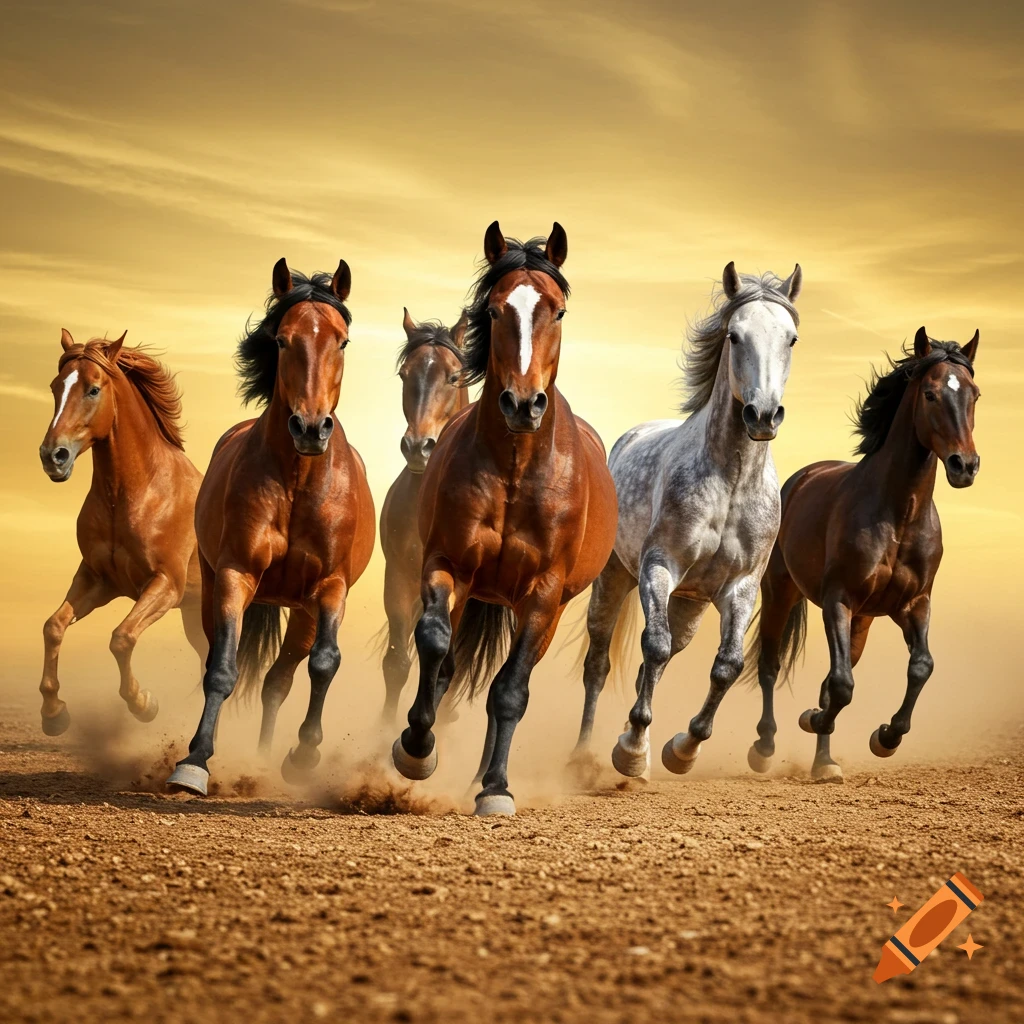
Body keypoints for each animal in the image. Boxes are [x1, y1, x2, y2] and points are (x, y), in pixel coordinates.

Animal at [36, 331, 206, 733]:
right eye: (55, 386)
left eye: (93, 389)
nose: (53, 457)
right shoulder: (98, 580)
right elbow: (54, 626)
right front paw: (54, 713)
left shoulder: (164, 586)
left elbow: (121, 638)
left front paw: (144, 703)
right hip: (197, 618)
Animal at [166, 259, 375, 796]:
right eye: (282, 340)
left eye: (342, 341)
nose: (310, 428)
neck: (297, 483)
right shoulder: (236, 575)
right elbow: (222, 668)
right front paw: (194, 761)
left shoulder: (330, 587)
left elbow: (324, 663)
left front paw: (304, 755)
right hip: (218, 589)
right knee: (226, 661)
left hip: (302, 611)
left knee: (279, 680)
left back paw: (267, 758)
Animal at [391, 221, 618, 816]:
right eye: (494, 310)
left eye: (558, 310)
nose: (522, 403)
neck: (516, 471)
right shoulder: (448, 565)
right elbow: (435, 646)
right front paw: (415, 748)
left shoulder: (544, 593)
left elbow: (511, 689)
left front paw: (496, 787)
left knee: (504, 682)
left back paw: (483, 777)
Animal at [571, 262, 803, 778]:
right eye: (735, 335)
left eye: (791, 338)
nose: (763, 415)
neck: (731, 483)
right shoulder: (659, 567)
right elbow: (652, 646)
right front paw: (632, 753)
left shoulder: (740, 586)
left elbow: (726, 666)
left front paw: (681, 749)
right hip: (616, 579)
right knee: (600, 663)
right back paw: (584, 754)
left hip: (690, 606)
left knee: (653, 665)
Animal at [743, 327, 980, 782]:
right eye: (930, 393)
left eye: (974, 394)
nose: (965, 465)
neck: (900, 513)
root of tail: (801, 478)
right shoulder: (839, 601)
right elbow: (841, 685)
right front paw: (812, 719)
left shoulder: (913, 605)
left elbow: (919, 666)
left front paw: (885, 738)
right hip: (781, 593)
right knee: (770, 666)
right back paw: (763, 747)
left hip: (863, 622)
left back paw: (824, 763)